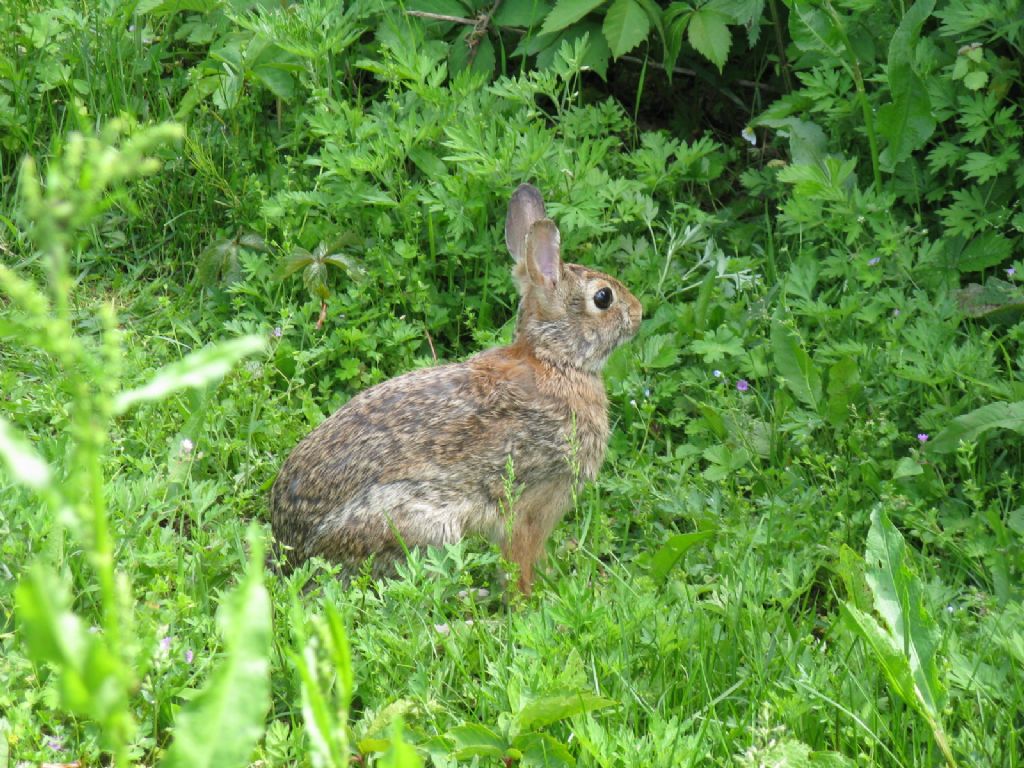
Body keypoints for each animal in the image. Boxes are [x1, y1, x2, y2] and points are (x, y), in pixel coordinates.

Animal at [272, 185, 638, 593]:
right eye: (603, 298)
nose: (639, 313)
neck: (555, 360)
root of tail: (292, 552)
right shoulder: (535, 502)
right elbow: (520, 560)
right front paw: (530, 597)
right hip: (423, 525)